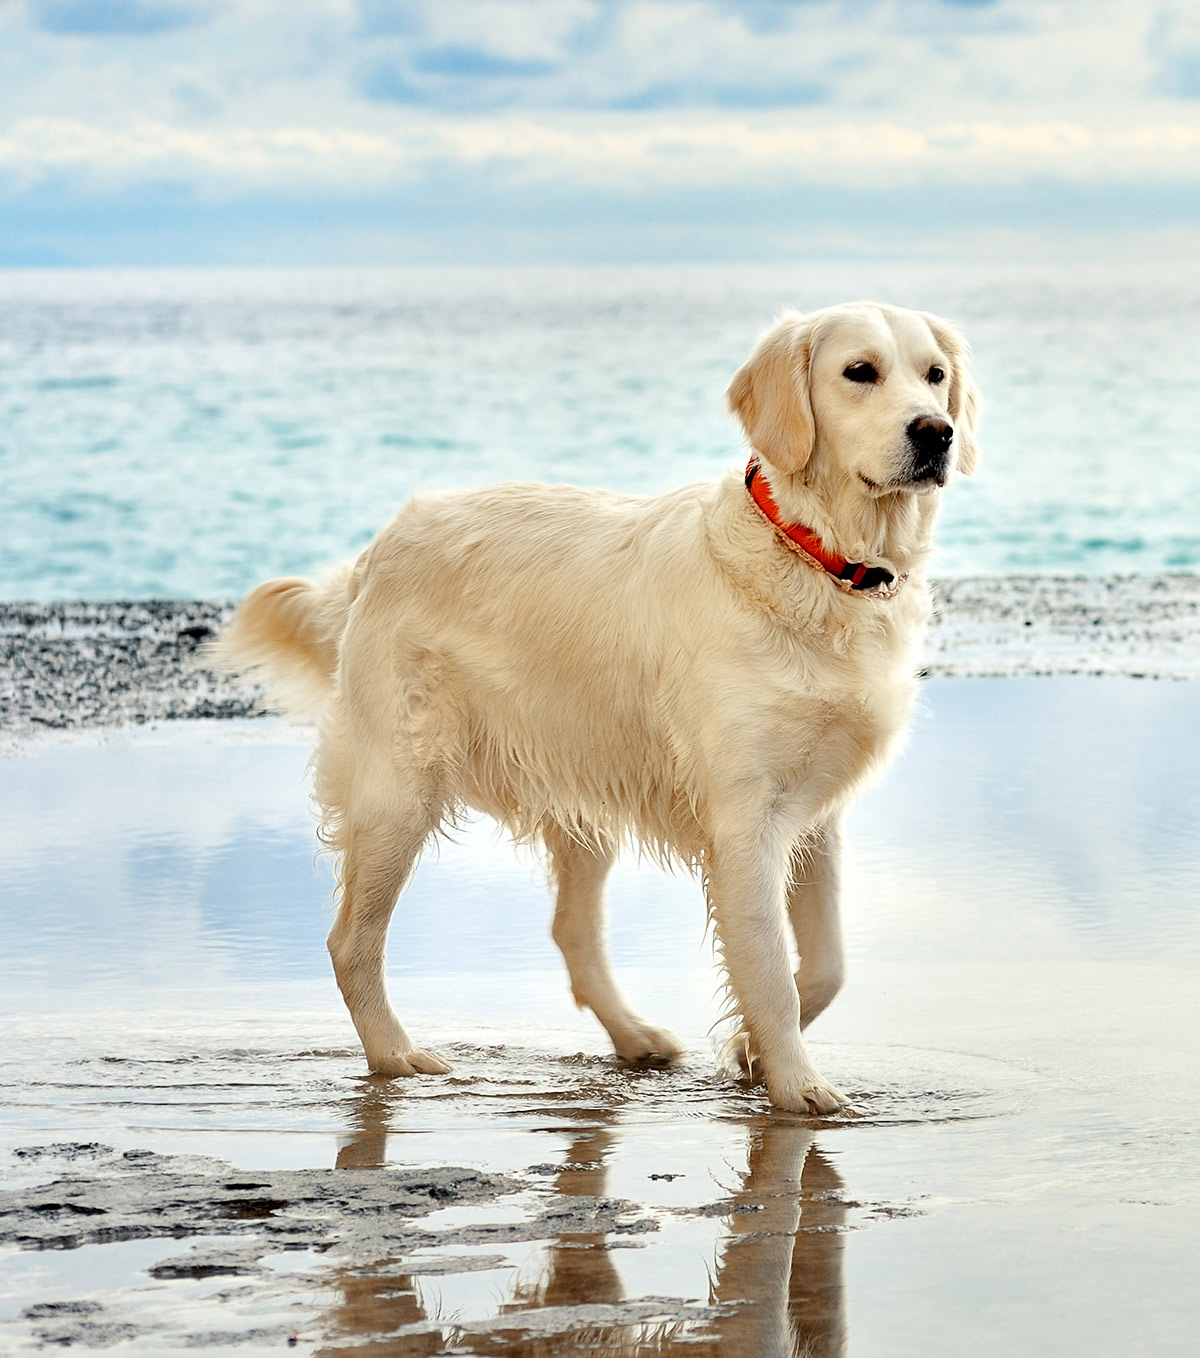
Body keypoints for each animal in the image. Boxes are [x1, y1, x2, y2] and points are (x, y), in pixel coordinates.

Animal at [219, 305, 977, 1113]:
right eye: (859, 372)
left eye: (934, 375)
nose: (936, 433)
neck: (815, 559)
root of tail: (381, 545)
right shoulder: (747, 819)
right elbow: (770, 967)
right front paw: (799, 1086)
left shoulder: (815, 815)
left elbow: (826, 965)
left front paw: (749, 1050)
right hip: (399, 791)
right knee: (352, 942)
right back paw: (398, 1056)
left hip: (580, 792)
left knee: (570, 933)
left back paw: (635, 1038)